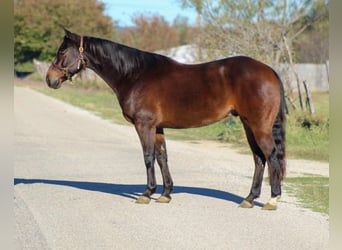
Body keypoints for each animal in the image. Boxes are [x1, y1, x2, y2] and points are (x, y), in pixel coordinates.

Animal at [46, 28, 286, 210]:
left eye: (62, 51)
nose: (50, 79)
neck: (135, 74)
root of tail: (269, 70)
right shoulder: (158, 127)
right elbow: (162, 157)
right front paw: (166, 193)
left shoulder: (144, 125)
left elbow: (148, 157)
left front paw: (147, 193)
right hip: (248, 125)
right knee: (258, 158)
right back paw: (249, 198)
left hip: (259, 126)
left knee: (271, 156)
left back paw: (272, 199)